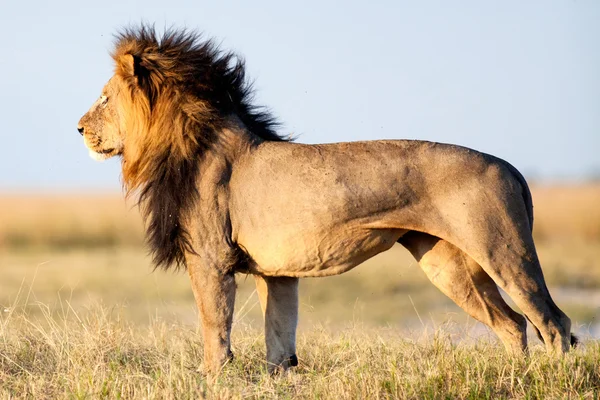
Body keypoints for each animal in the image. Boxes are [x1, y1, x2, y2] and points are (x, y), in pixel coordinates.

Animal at [77, 25, 576, 376]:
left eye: (104, 98)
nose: (78, 128)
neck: (185, 141)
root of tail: (510, 167)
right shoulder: (276, 273)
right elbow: (279, 340)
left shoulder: (210, 259)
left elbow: (214, 331)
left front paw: (212, 380)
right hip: (449, 265)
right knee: (513, 324)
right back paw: (514, 379)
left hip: (503, 252)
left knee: (554, 323)